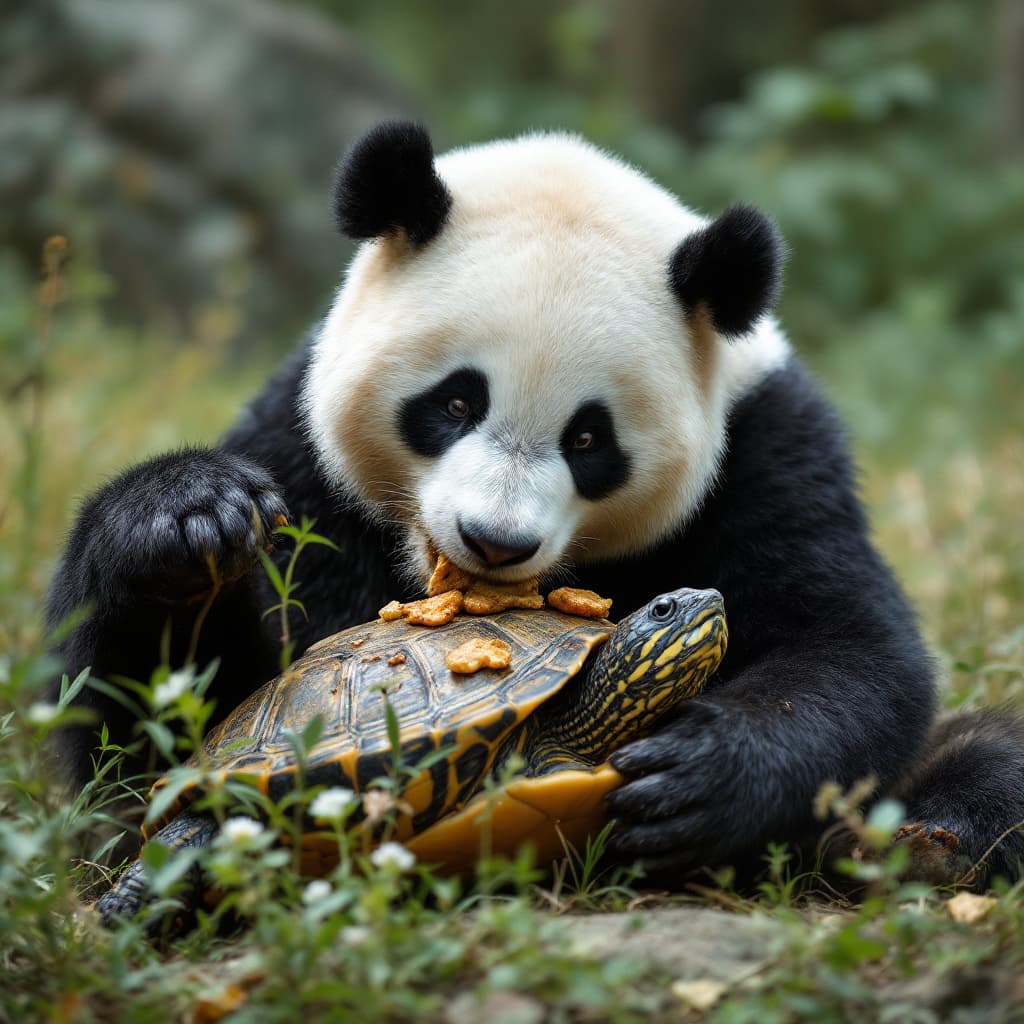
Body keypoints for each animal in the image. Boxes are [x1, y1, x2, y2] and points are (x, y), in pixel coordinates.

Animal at [47, 122, 1024, 887]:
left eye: (589, 439)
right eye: (455, 401)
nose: (494, 541)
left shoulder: (770, 447)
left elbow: (850, 645)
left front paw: (700, 778)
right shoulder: (303, 452)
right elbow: (168, 728)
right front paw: (187, 526)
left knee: (990, 753)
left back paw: (935, 838)